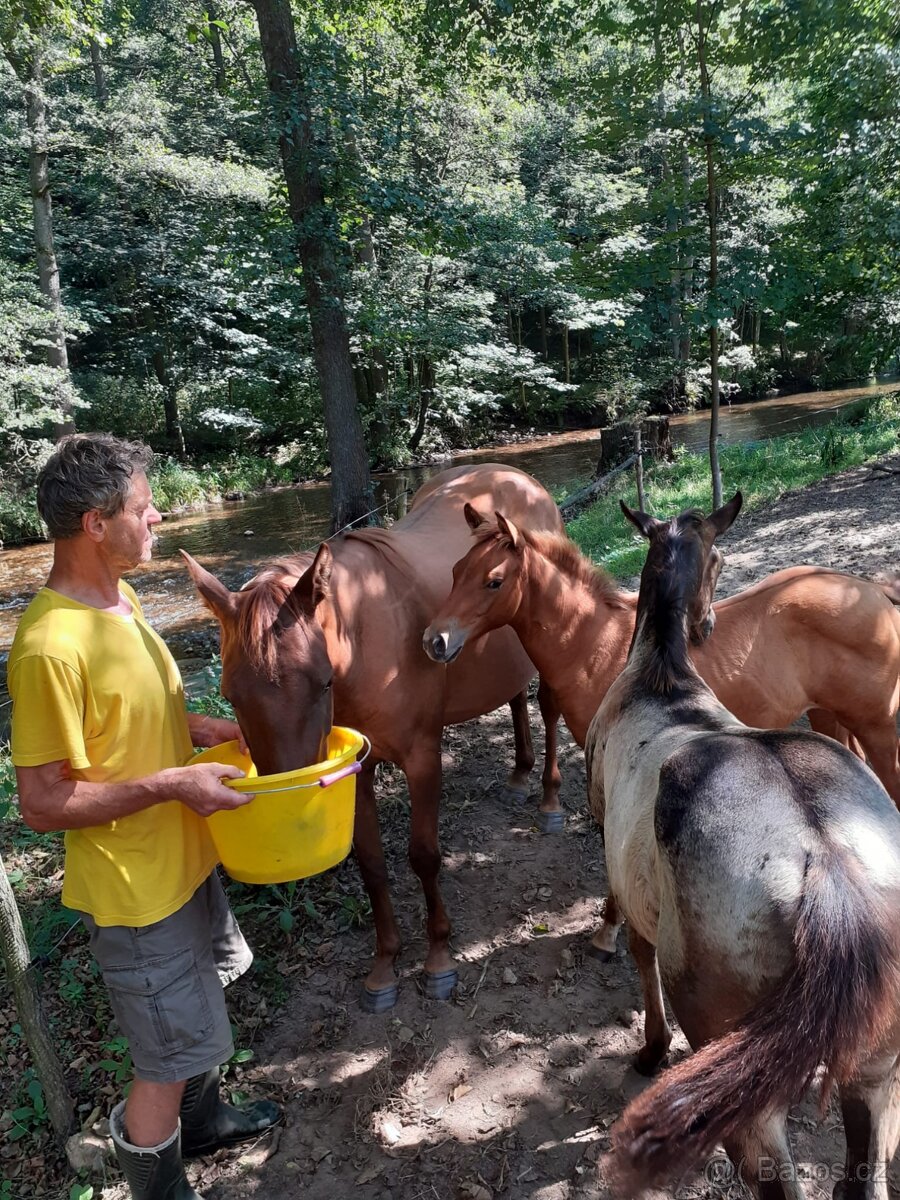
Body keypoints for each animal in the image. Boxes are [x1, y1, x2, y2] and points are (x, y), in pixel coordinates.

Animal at [182, 463, 564, 1008]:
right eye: (229, 695)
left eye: (322, 683)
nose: (294, 805)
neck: (365, 643)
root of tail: (515, 475)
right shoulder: (355, 772)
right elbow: (372, 865)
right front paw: (385, 965)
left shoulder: (422, 758)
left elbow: (424, 856)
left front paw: (438, 959)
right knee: (513, 698)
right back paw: (518, 774)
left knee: (547, 710)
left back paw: (549, 800)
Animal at [588, 489, 900, 1200]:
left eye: (719, 557)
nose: (704, 624)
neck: (661, 679)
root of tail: (826, 863)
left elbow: (640, 957)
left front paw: (650, 1049)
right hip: (873, 1070)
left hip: (748, 1102)